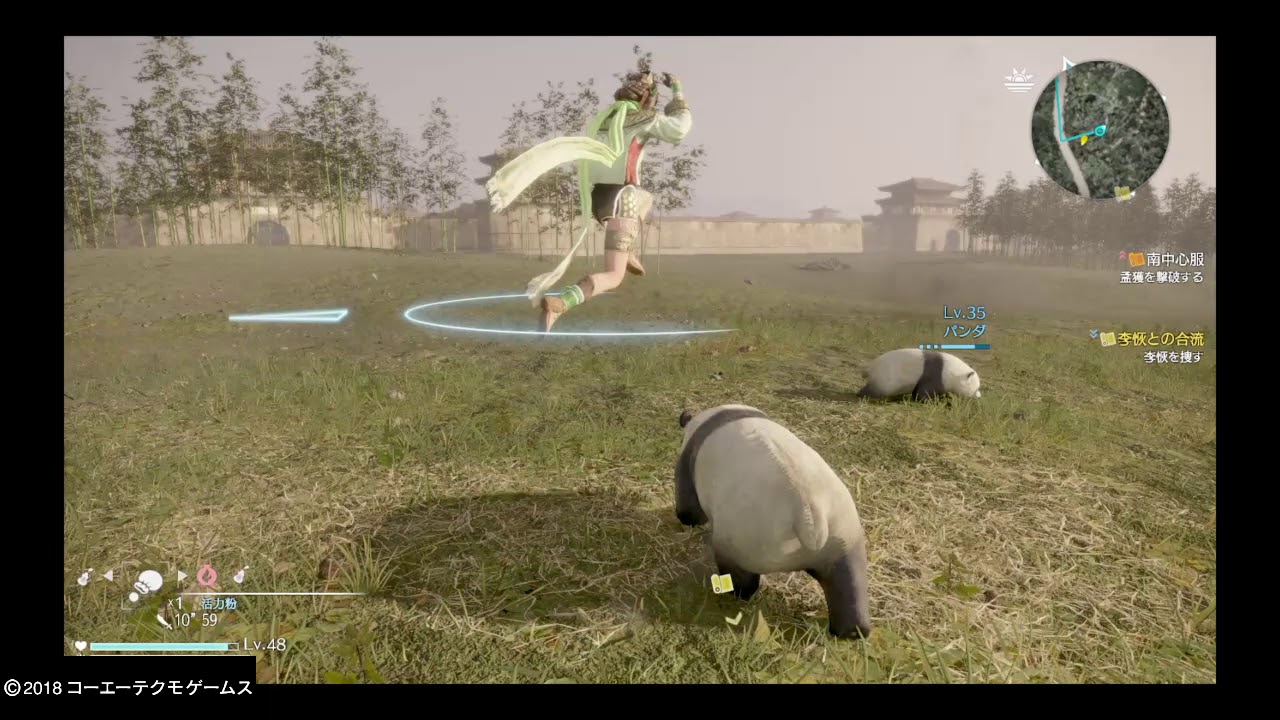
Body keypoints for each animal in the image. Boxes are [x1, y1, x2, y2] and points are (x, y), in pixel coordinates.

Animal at [674, 404, 872, 639]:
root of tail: (808, 514)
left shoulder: (689, 462)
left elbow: (688, 500)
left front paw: (687, 519)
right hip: (842, 530)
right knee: (848, 578)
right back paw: (852, 631)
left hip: (745, 533)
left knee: (739, 573)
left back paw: (736, 593)